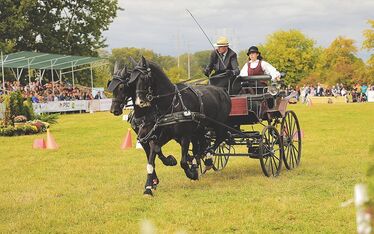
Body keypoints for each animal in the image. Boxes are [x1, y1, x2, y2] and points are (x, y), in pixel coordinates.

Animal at [129, 57, 231, 196]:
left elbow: (183, 162)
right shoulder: (162, 135)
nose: (139, 102)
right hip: (200, 129)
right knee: (201, 146)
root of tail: (222, 91)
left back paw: (208, 160)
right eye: (132, 81)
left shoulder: (185, 136)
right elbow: (153, 156)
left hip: (218, 124)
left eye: (144, 78)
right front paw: (149, 187)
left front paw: (192, 174)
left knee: (219, 139)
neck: (172, 103)